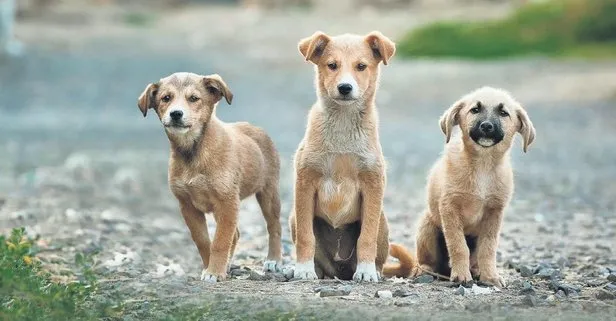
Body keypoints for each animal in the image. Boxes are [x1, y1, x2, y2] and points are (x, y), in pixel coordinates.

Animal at [137, 71, 282, 282]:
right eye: (166, 98)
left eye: (194, 98)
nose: (176, 114)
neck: (193, 152)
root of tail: (254, 127)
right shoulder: (188, 206)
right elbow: (204, 241)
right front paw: (210, 267)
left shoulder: (227, 202)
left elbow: (220, 241)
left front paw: (214, 272)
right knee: (236, 234)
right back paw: (228, 265)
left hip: (268, 192)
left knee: (274, 226)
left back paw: (274, 260)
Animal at [384, 86, 536, 286]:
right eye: (475, 110)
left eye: (504, 113)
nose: (486, 126)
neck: (483, 165)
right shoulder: (449, 208)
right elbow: (458, 246)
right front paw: (461, 275)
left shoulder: (494, 212)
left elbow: (488, 249)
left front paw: (490, 276)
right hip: (427, 226)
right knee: (426, 261)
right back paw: (425, 271)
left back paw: (476, 271)